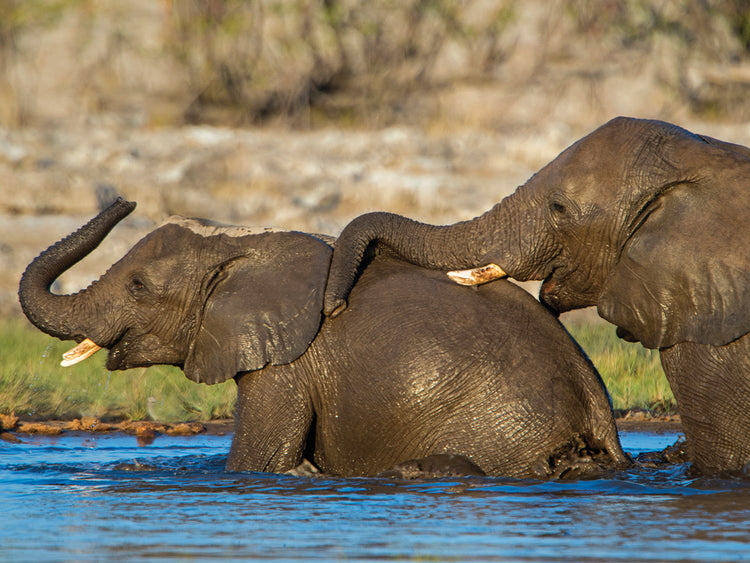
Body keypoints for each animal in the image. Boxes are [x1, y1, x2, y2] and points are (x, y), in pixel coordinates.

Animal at [19, 198, 629, 478]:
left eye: (140, 288)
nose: (125, 201)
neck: (236, 242)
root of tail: (601, 413)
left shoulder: (285, 366)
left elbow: (258, 461)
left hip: (499, 430)